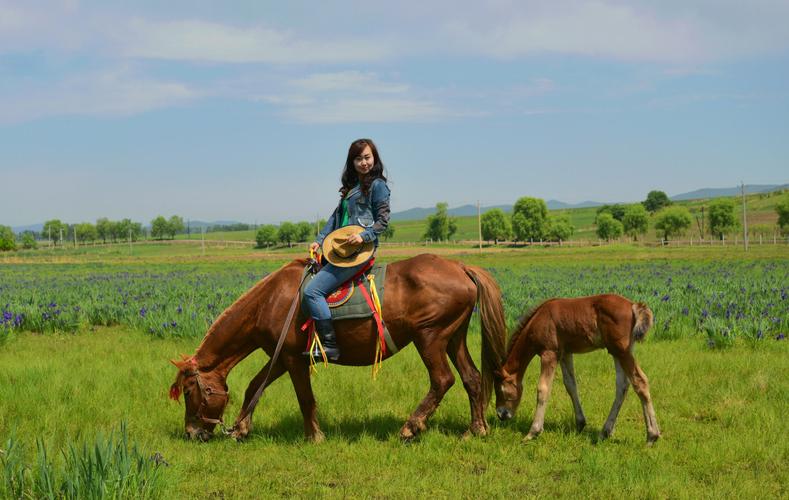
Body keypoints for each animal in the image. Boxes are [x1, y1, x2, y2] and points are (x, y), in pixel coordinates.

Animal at [169, 254, 508, 442]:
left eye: (189, 391)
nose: (191, 433)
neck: (271, 302)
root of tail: (460, 267)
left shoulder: (293, 359)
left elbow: (305, 399)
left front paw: (315, 436)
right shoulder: (280, 358)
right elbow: (254, 387)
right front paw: (241, 429)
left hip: (430, 338)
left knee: (442, 380)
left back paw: (410, 428)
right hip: (454, 338)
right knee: (472, 379)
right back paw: (475, 430)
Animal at [492, 294, 660, 444]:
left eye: (500, 389)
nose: (501, 414)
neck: (539, 319)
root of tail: (633, 305)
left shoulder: (549, 353)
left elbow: (543, 389)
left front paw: (533, 432)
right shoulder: (565, 353)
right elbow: (570, 385)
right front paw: (580, 423)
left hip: (621, 351)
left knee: (640, 381)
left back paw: (652, 436)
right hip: (616, 351)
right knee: (622, 386)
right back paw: (605, 432)